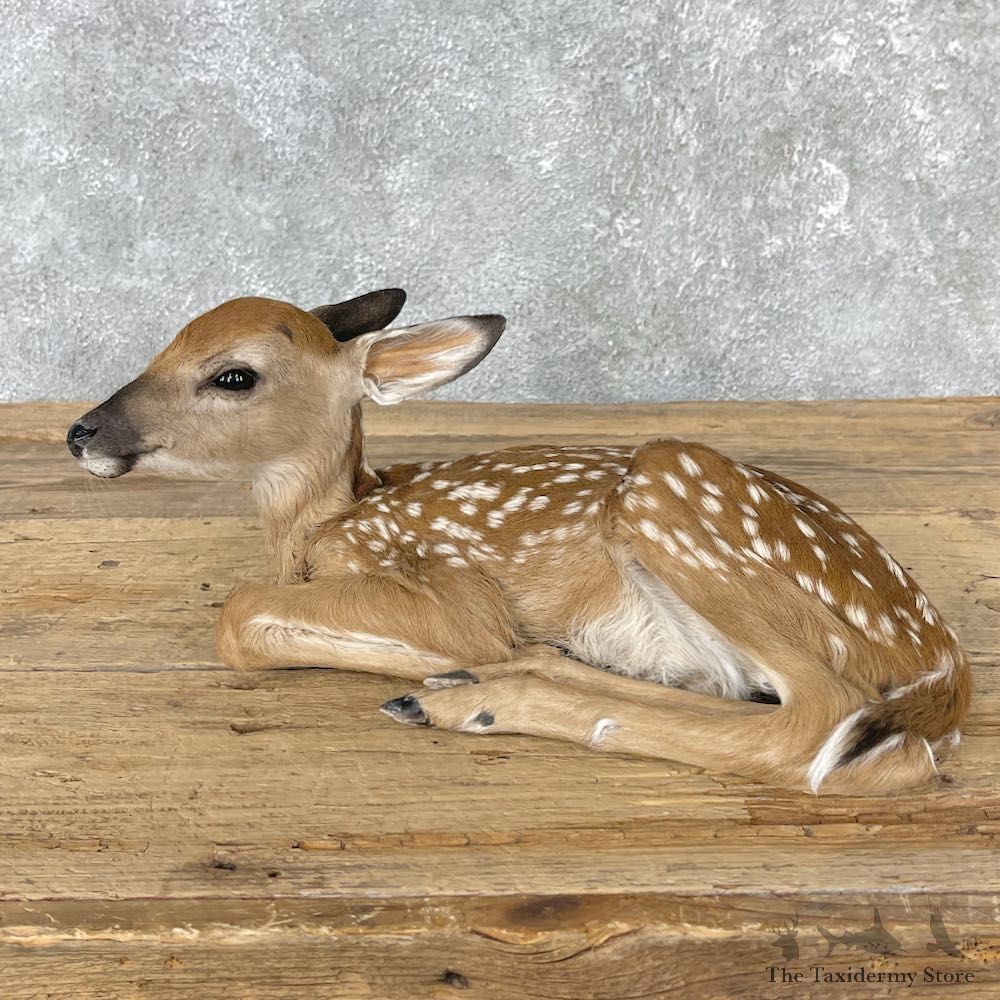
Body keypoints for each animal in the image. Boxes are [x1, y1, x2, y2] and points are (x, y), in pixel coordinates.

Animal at [66, 288, 971, 795]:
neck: (327, 523)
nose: (82, 431)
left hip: (671, 494)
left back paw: (464, 698)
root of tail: (945, 673)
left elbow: (239, 617)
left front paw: (450, 661)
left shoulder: (441, 581)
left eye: (233, 375)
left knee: (832, 731)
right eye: (164, 344)